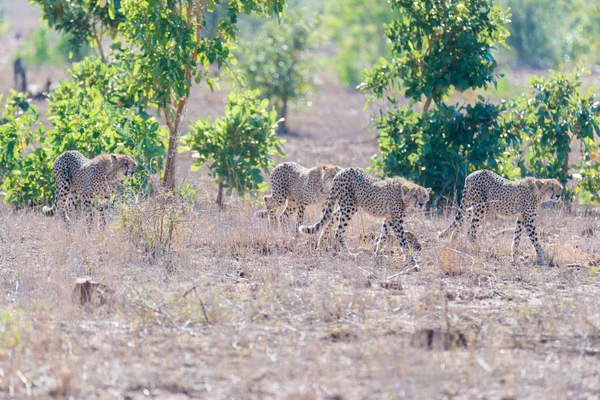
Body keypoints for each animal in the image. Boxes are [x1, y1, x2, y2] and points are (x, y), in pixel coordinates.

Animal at [298, 167, 428, 258]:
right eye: (415, 196)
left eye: (425, 196)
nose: (421, 204)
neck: (402, 195)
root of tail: (342, 171)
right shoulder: (396, 222)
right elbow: (403, 242)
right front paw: (413, 264)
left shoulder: (388, 219)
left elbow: (383, 237)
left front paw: (377, 255)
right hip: (349, 207)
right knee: (338, 232)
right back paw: (348, 254)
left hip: (347, 205)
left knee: (331, 217)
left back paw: (321, 245)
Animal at [436, 170, 564, 266]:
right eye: (551, 188)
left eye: (560, 188)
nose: (558, 195)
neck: (538, 193)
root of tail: (472, 174)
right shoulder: (529, 220)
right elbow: (535, 239)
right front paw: (542, 257)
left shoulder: (520, 218)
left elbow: (516, 238)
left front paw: (515, 258)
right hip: (481, 207)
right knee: (470, 230)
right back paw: (479, 250)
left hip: (478, 207)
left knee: (462, 218)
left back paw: (453, 241)